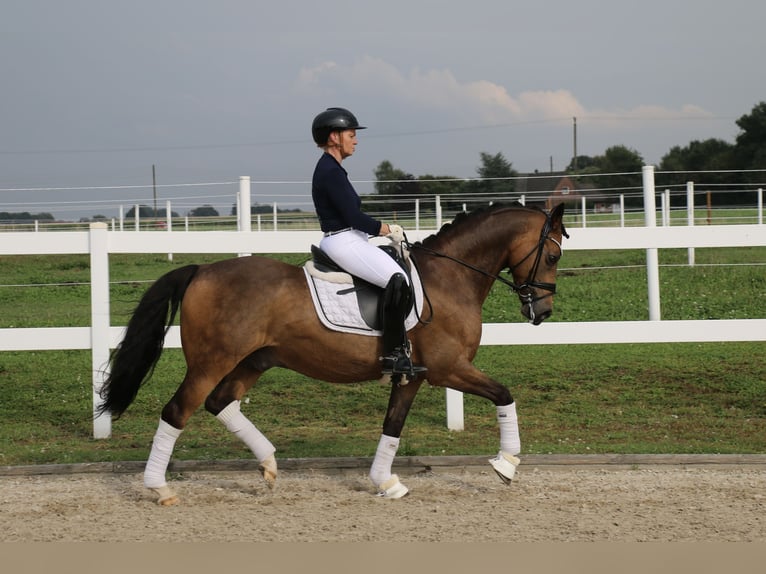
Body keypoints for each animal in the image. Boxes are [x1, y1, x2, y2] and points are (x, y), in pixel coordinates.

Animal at [96, 201, 568, 504]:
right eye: (553, 254)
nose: (542, 311)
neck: (449, 278)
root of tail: (202, 270)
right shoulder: (449, 369)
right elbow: (505, 394)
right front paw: (507, 463)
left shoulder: (412, 375)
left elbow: (392, 426)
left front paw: (385, 482)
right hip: (212, 362)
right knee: (178, 411)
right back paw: (160, 488)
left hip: (254, 360)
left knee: (219, 402)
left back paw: (268, 464)